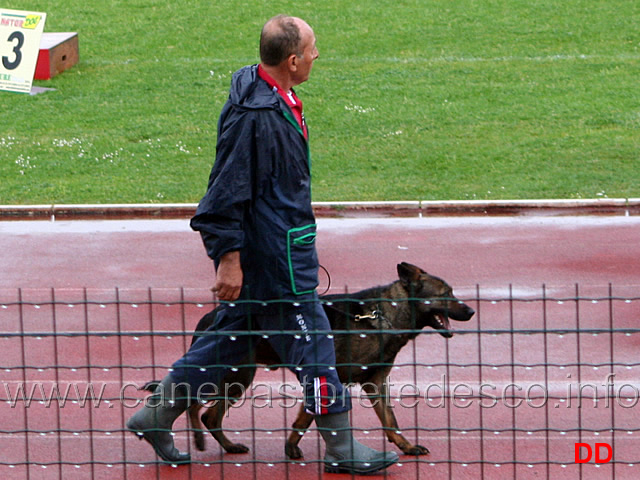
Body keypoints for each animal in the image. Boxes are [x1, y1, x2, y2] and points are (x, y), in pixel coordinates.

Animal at [145, 264, 476, 460]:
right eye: (447, 294)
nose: (472, 312)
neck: (383, 316)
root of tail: (211, 315)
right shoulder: (327, 377)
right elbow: (306, 418)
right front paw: (293, 448)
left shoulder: (375, 383)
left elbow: (390, 422)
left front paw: (406, 447)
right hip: (230, 375)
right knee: (192, 402)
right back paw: (193, 439)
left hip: (239, 378)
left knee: (210, 415)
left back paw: (227, 446)